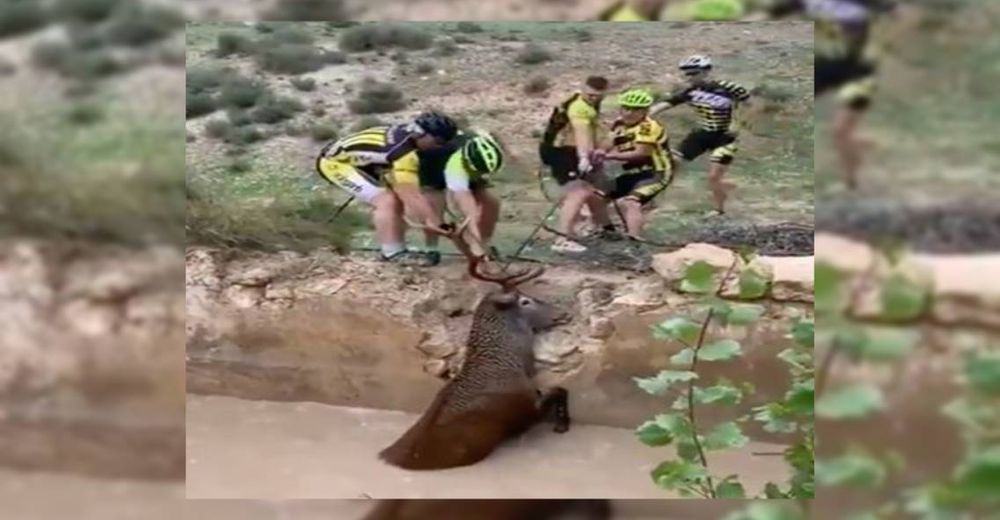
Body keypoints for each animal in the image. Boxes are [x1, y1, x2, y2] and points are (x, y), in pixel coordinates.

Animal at [378, 217, 576, 470]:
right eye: (525, 300)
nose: (563, 313)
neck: (516, 367)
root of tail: (388, 458)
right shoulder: (525, 410)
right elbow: (560, 390)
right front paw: (562, 424)